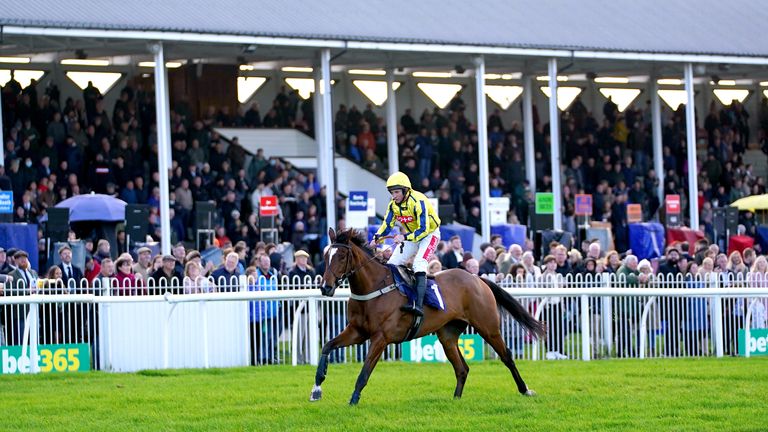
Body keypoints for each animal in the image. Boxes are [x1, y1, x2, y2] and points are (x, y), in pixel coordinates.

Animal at [308, 228, 548, 406]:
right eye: (326, 255)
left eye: (341, 256)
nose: (326, 287)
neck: (374, 288)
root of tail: (476, 278)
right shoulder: (356, 332)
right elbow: (327, 346)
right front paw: (317, 388)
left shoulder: (381, 338)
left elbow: (365, 371)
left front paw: (353, 400)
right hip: (448, 335)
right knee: (462, 368)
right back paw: (456, 400)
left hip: (488, 327)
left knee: (507, 357)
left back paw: (525, 390)